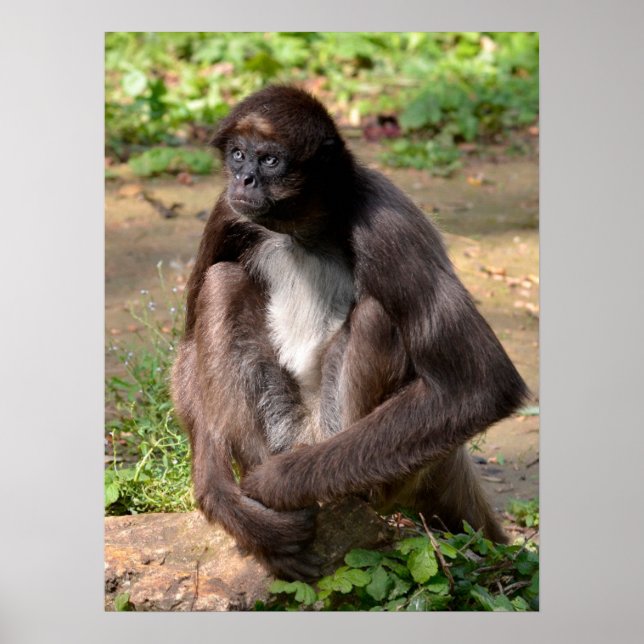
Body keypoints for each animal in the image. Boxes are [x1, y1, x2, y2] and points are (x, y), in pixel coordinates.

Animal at [171, 85, 529, 581]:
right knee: (223, 281)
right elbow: (187, 345)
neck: (300, 230)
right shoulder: (228, 210)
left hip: (359, 452)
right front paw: (225, 498)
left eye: (270, 161)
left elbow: (482, 383)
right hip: (283, 426)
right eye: (238, 155)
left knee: (377, 315)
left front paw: (275, 483)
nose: (244, 179)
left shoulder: (386, 223)